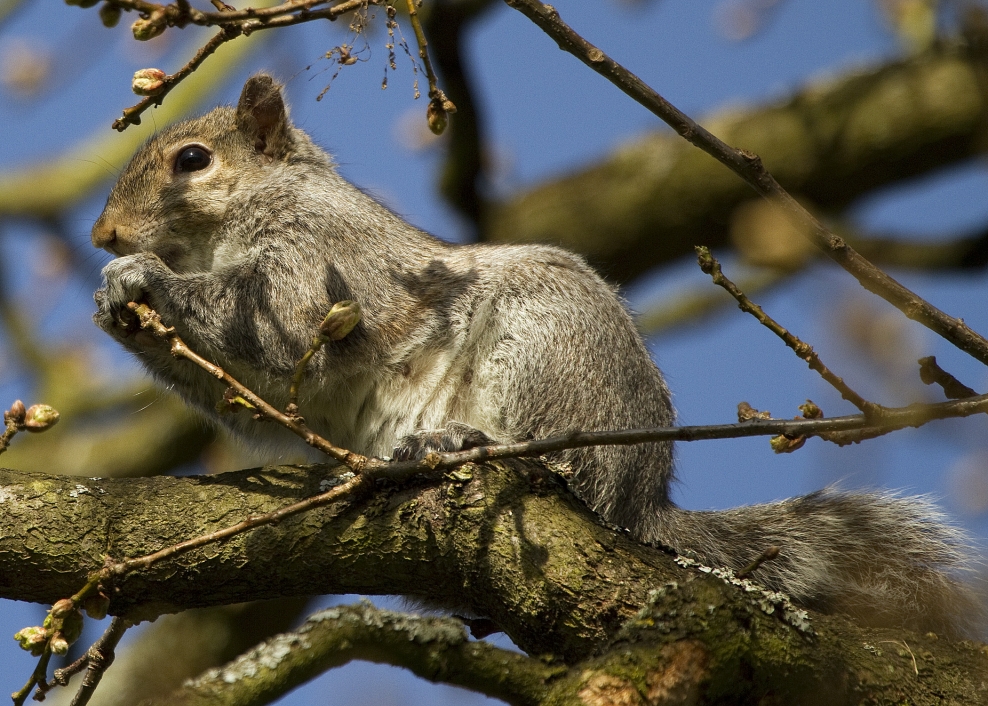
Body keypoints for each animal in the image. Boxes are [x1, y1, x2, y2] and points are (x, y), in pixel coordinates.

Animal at [94, 75, 980, 632]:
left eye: (193, 161)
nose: (104, 234)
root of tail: (642, 498)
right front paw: (117, 308)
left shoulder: (322, 261)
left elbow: (277, 322)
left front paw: (144, 280)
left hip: (548, 349)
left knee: (568, 469)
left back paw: (475, 444)